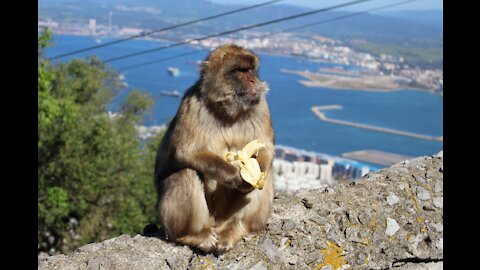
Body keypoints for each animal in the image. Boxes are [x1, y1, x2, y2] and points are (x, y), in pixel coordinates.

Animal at [154, 43, 274, 253]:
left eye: (251, 70)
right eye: (240, 71)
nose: (254, 80)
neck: (228, 112)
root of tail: (217, 224)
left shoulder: (261, 107)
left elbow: (266, 148)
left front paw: (251, 175)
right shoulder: (191, 104)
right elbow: (187, 151)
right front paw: (233, 175)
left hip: (228, 218)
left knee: (265, 177)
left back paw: (235, 229)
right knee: (185, 174)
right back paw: (191, 235)